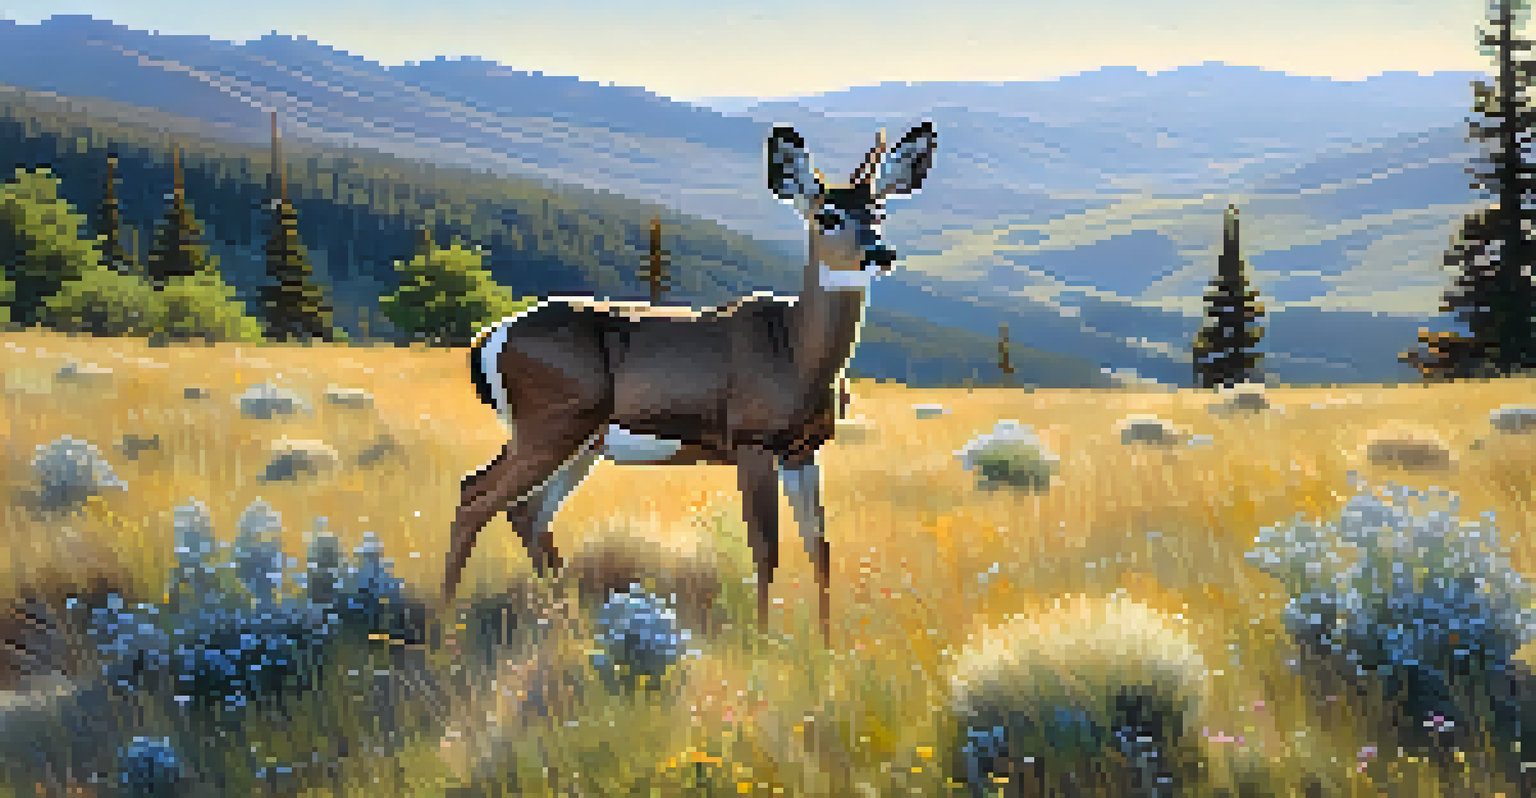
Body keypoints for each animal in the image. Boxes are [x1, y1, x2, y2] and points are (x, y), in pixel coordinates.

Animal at [443, 121, 937, 643]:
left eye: (879, 211)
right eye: (827, 216)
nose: (881, 252)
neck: (794, 352)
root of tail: (487, 339)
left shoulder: (803, 450)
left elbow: (819, 548)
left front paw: (826, 648)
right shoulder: (751, 440)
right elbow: (766, 549)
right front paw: (763, 645)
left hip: (579, 442)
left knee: (527, 512)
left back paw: (568, 623)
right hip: (549, 425)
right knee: (475, 495)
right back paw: (444, 630)